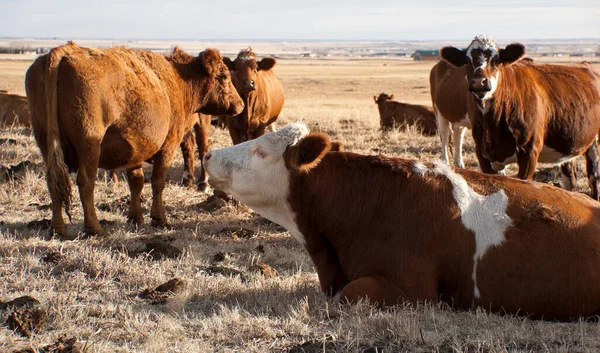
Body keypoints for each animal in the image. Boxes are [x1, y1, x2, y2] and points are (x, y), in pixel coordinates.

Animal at [26, 42, 244, 239]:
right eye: (225, 76)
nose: (240, 104)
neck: (176, 79)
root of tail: (64, 51)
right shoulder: (168, 146)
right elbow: (157, 182)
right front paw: (159, 218)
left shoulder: (135, 149)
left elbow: (136, 182)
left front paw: (135, 217)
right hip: (90, 146)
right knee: (86, 182)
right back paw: (94, 228)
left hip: (45, 143)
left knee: (53, 181)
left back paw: (57, 229)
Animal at [438, 35, 600, 201]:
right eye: (467, 60)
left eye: (496, 59)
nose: (479, 82)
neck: (493, 123)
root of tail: (585, 65)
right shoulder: (483, 154)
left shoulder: (529, 152)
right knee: (570, 179)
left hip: (594, 143)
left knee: (593, 178)